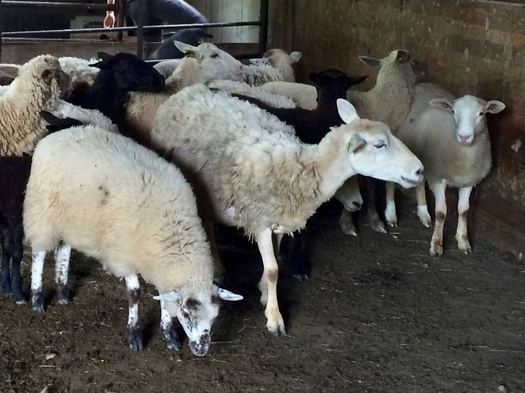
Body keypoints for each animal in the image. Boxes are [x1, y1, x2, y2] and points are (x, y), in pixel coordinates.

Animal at [24, 125, 242, 356]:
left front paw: (169, 335)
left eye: (215, 317)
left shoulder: (161, 268)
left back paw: (63, 292)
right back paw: (37, 299)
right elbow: (135, 294)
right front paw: (134, 334)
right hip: (42, 213)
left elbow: (164, 299)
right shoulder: (123, 256)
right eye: (186, 314)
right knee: (39, 254)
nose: (201, 350)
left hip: (70, 220)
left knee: (63, 250)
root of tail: (58, 134)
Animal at [150, 85, 422, 334]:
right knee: (206, 226)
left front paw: (262, 290)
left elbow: (277, 255)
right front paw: (274, 316)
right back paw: (218, 269)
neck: (305, 169)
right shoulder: (259, 220)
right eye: (380, 145)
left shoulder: (281, 220)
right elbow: (273, 270)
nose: (420, 170)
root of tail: (186, 91)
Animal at [390, 82, 506, 254]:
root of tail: (420, 84)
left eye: (481, 113)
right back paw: (390, 214)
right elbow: (441, 213)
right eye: (453, 112)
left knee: (419, 183)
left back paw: (423, 213)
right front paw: (437, 244)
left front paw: (463, 240)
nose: (464, 137)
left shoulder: (469, 181)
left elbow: (464, 211)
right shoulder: (438, 178)